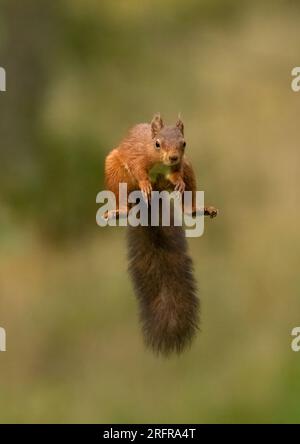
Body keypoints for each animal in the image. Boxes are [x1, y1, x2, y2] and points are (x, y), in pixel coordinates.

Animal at [104, 113, 217, 354]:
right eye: (157, 144)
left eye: (184, 143)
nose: (173, 157)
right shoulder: (137, 157)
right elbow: (139, 170)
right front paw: (145, 182)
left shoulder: (179, 166)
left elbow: (176, 176)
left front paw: (178, 182)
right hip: (115, 170)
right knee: (122, 195)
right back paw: (121, 209)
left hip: (189, 167)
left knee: (187, 203)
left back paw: (198, 208)